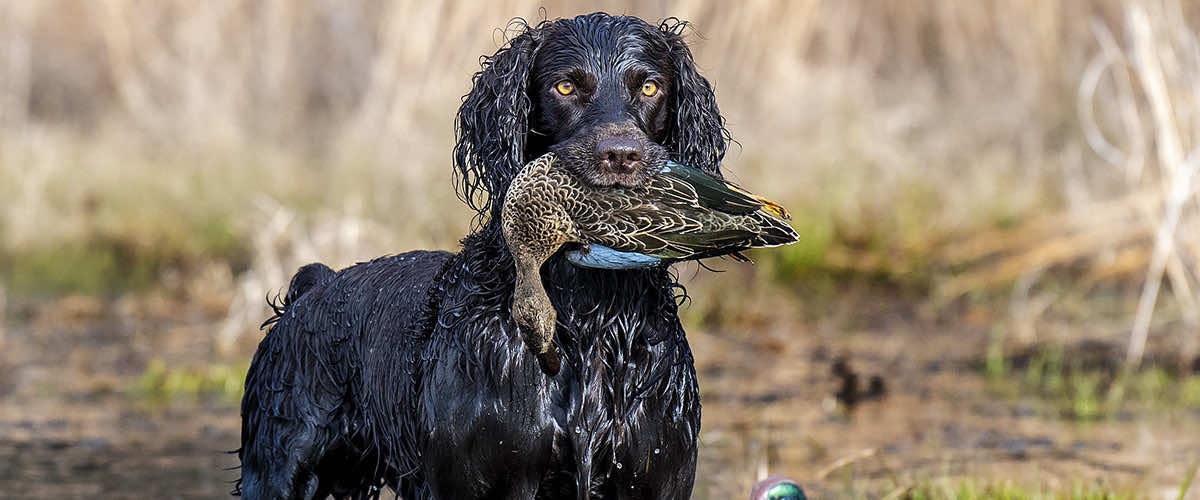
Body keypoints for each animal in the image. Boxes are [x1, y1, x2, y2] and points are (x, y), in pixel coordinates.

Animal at [234, 12, 724, 498]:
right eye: (565, 87)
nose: (621, 155)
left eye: (650, 87)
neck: (589, 313)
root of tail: (314, 286)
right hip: (279, 466)